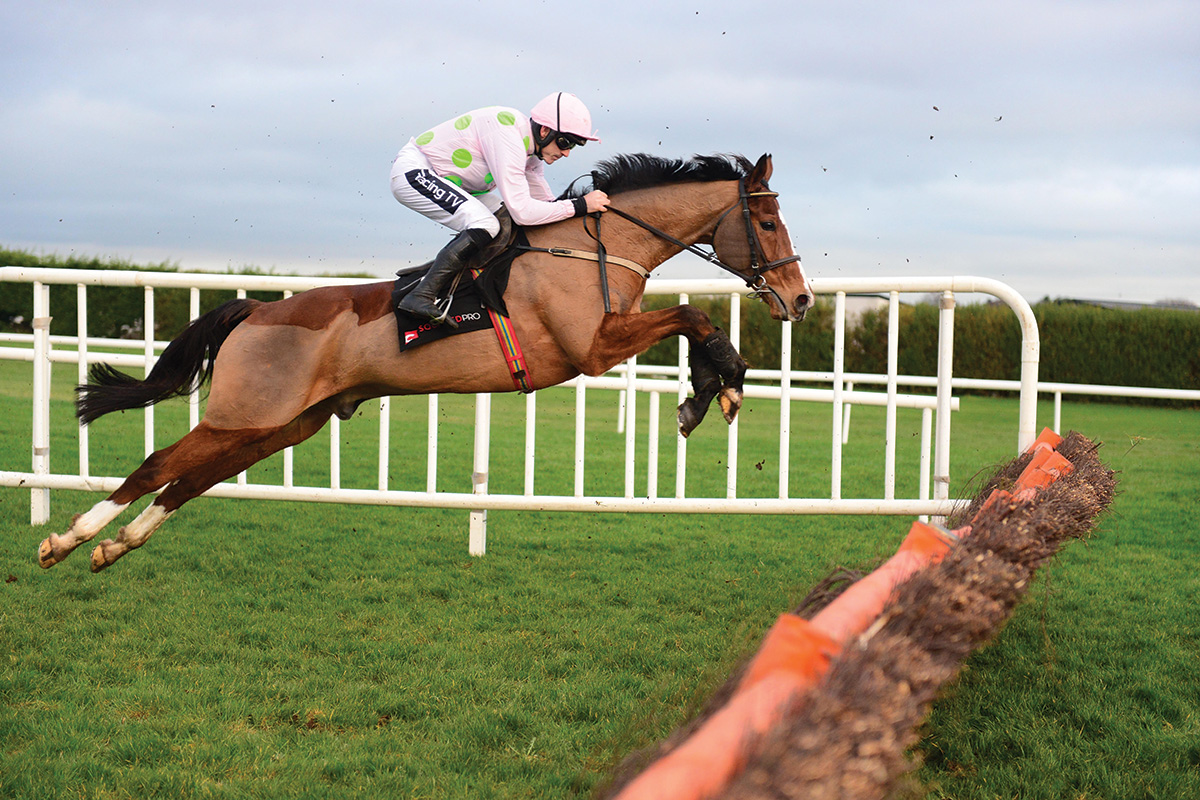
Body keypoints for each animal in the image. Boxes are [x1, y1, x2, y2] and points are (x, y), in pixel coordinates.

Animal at [37, 153, 816, 573]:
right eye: (768, 221)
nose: (801, 298)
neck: (595, 245)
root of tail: (255, 311)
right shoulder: (591, 349)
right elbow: (694, 316)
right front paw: (717, 388)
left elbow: (691, 319)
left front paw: (708, 391)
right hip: (246, 413)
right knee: (157, 465)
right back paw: (68, 541)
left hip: (281, 424)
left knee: (191, 478)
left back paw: (116, 546)